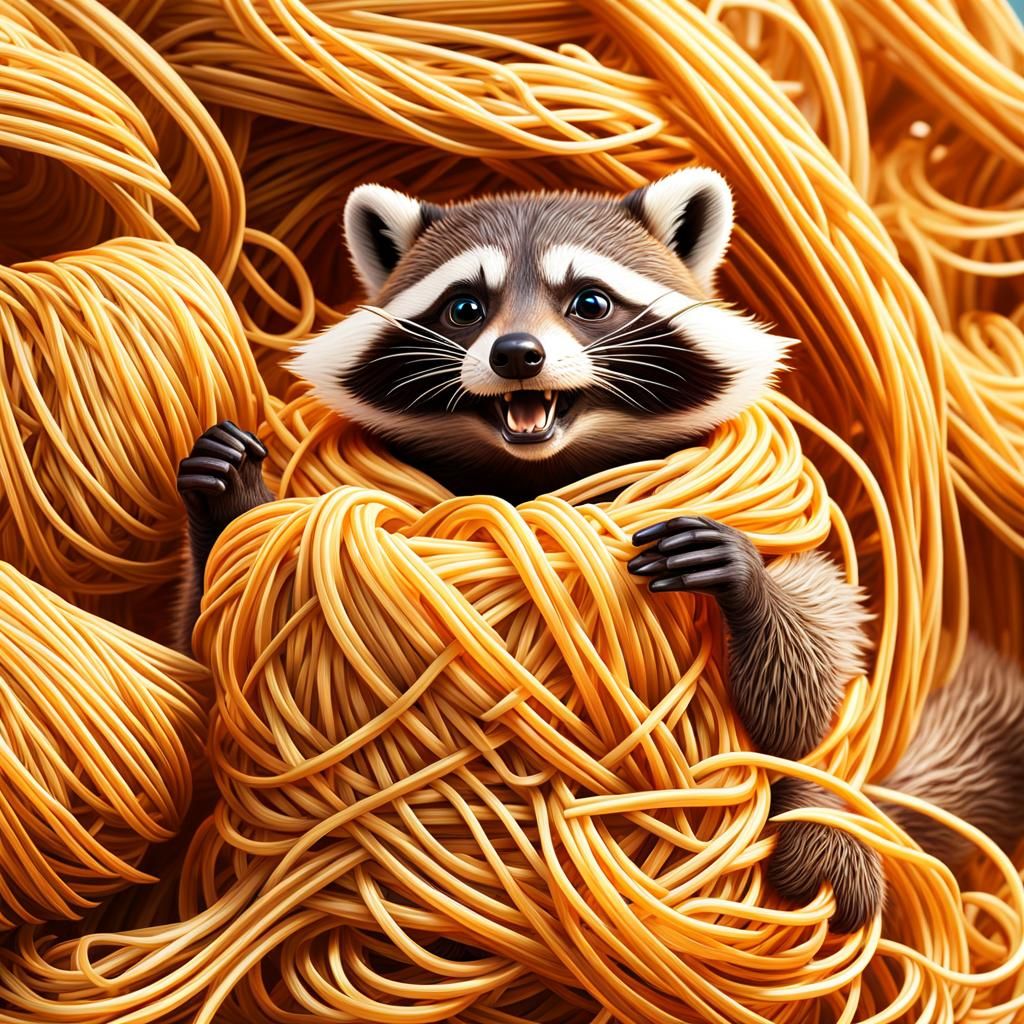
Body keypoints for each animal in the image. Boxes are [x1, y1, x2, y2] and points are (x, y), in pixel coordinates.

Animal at [177, 170, 1024, 935]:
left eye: (588, 301)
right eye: (465, 307)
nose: (518, 354)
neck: (536, 472)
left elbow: (807, 697)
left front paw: (750, 583)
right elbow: (217, 648)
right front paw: (230, 500)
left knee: (811, 799)